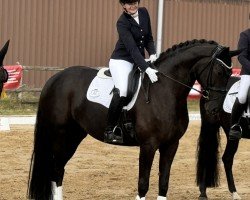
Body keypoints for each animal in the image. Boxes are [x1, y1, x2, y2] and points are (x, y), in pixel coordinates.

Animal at [27, 39, 240, 200]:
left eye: (231, 74)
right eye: (219, 72)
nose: (213, 109)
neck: (165, 90)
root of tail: (55, 79)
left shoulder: (171, 145)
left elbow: (163, 183)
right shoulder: (148, 145)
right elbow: (143, 184)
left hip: (75, 135)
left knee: (59, 169)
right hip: (60, 134)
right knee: (56, 169)